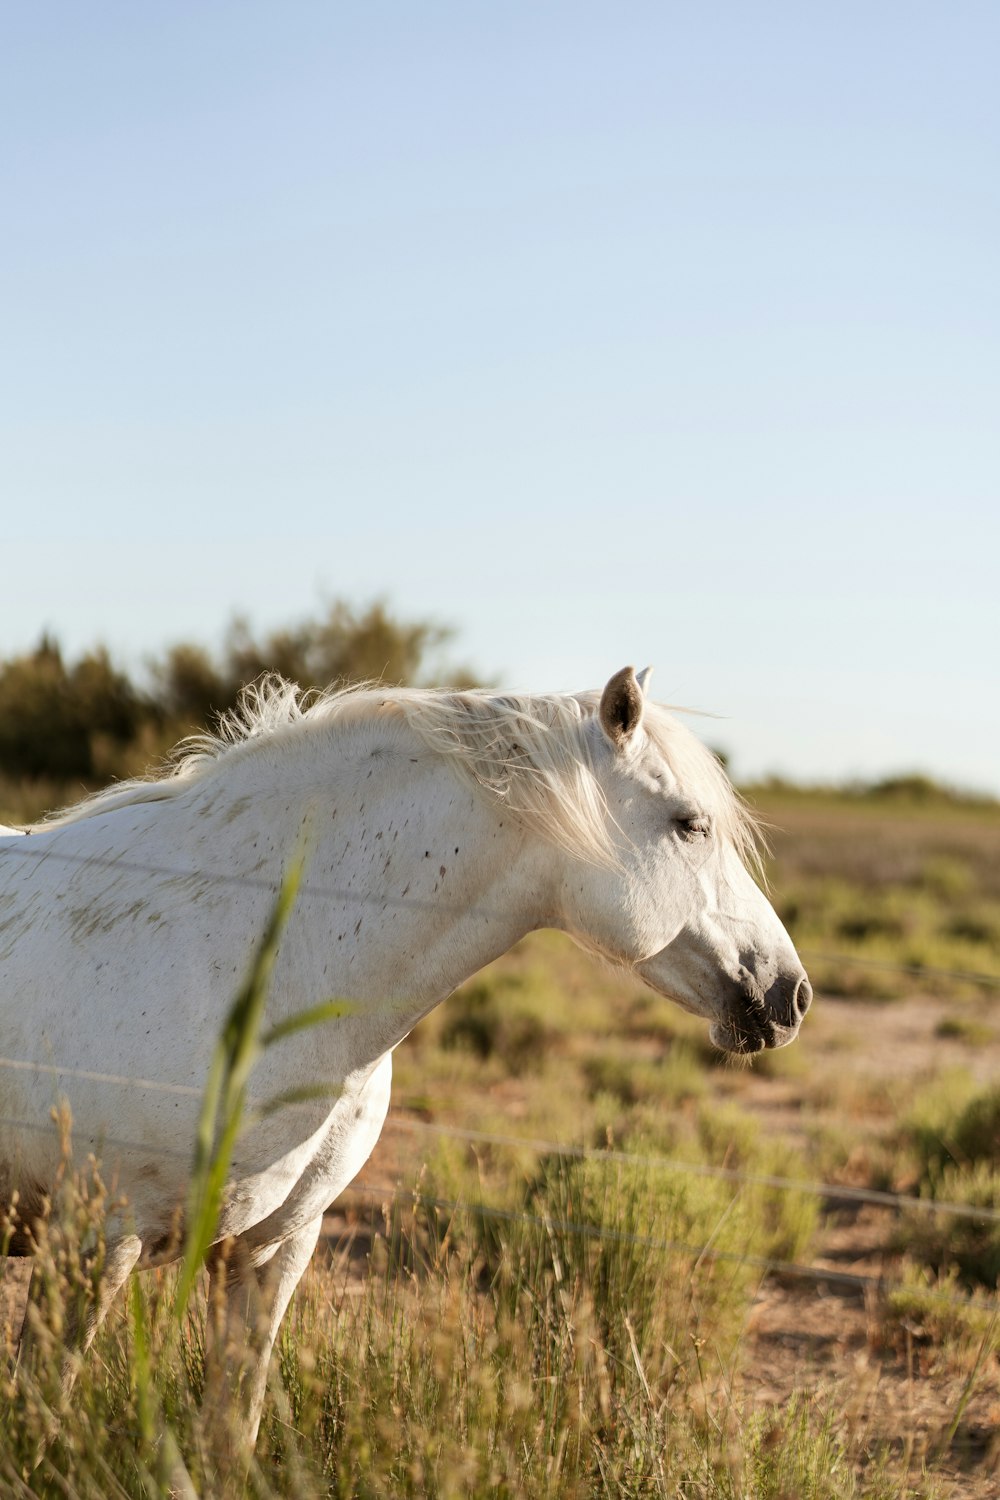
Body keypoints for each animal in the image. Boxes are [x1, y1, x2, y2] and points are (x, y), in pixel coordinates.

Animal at [0, 666, 815, 1440]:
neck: (259, 959)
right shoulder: (93, 1245)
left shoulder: (270, 1249)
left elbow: (231, 1431)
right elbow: (42, 1423)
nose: (791, 994)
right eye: (691, 825)